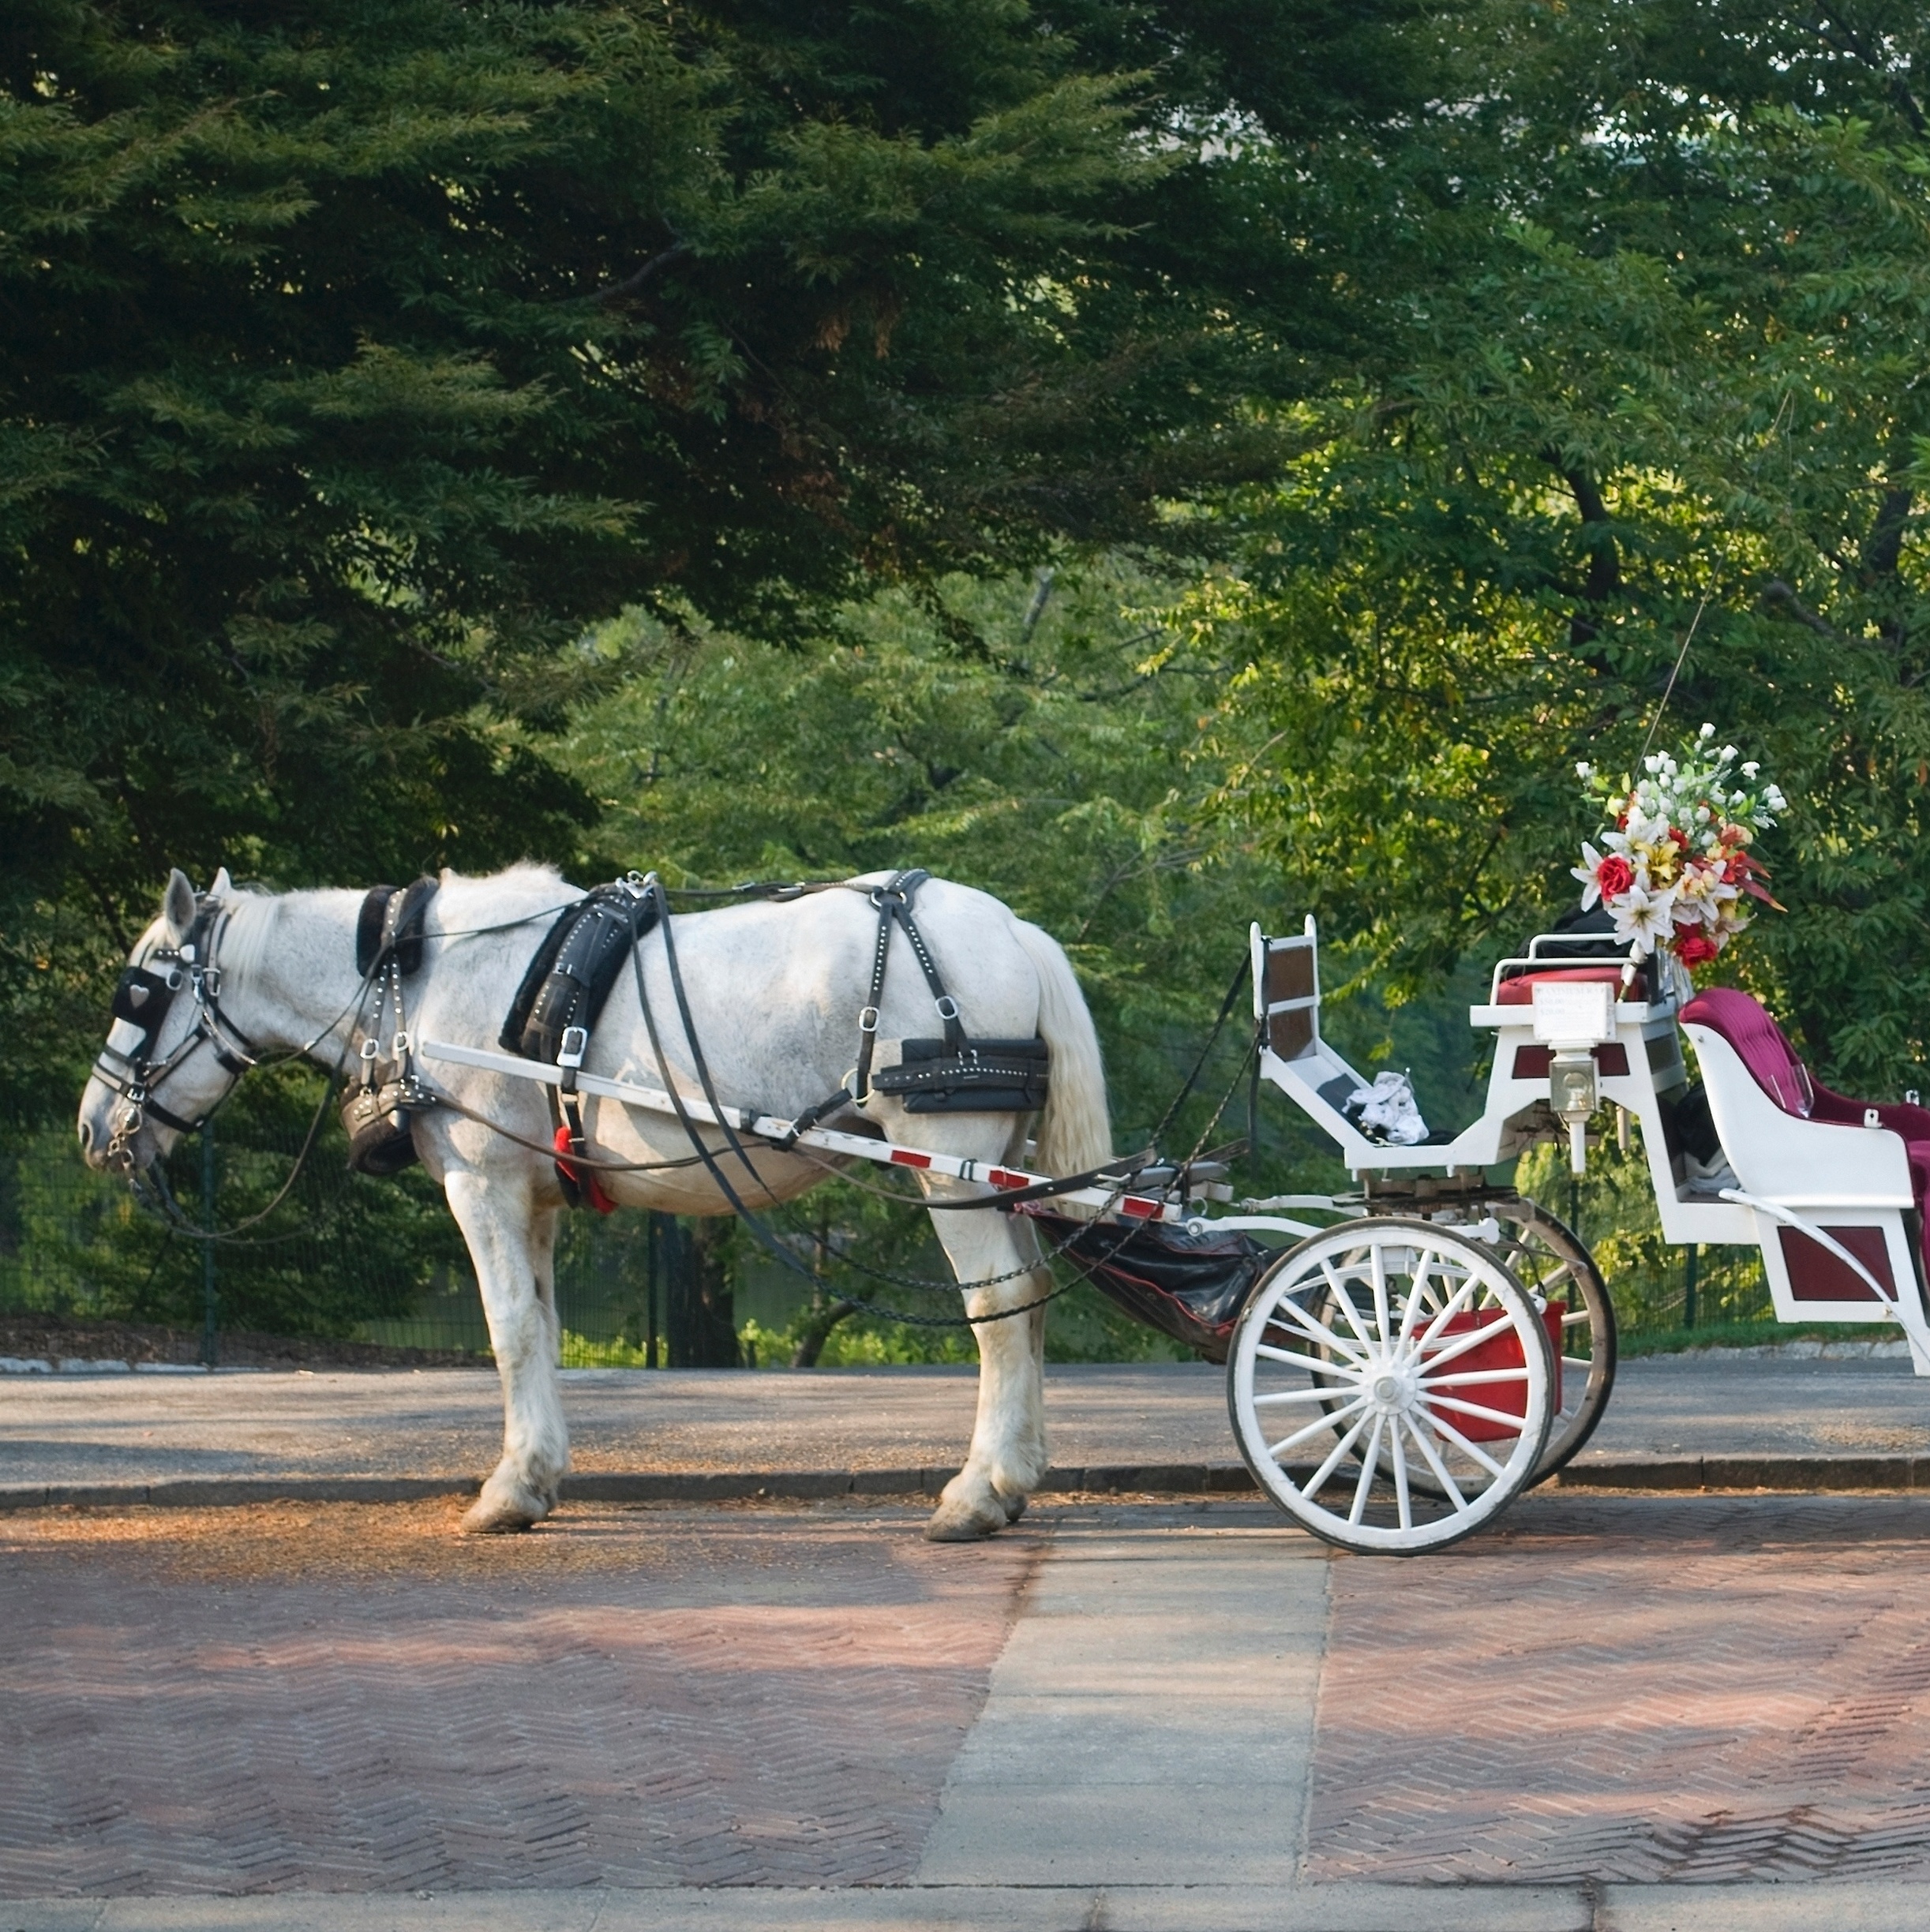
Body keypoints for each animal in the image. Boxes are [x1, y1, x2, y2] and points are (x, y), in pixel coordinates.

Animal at [75, 861, 1112, 1537]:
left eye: (137, 993)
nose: (92, 1129)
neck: (412, 983)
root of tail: (1012, 931)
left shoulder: (483, 1181)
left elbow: (508, 1331)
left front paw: (507, 1492)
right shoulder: (533, 1196)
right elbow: (541, 1326)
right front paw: (538, 1475)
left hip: (950, 1170)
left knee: (1000, 1315)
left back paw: (979, 1493)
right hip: (1000, 1178)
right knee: (1031, 1307)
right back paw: (1017, 1476)